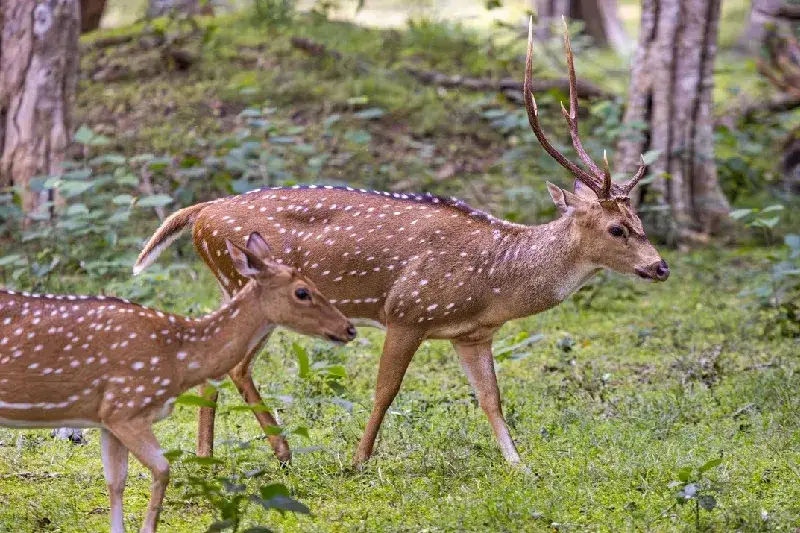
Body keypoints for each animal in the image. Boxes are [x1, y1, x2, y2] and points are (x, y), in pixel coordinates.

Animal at [0, 232, 355, 533]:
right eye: (302, 292)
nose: (349, 328)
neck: (178, 360)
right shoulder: (126, 407)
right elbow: (162, 470)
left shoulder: (106, 418)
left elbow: (116, 482)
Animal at [132, 19, 670, 468]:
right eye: (617, 229)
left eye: (639, 218)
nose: (661, 267)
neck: (495, 284)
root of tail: (200, 213)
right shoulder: (409, 310)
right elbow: (385, 390)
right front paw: (358, 461)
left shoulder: (472, 334)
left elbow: (491, 398)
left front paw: (519, 465)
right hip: (254, 285)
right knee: (238, 365)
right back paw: (282, 452)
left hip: (234, 285)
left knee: (220, 356)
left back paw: (206, 454)